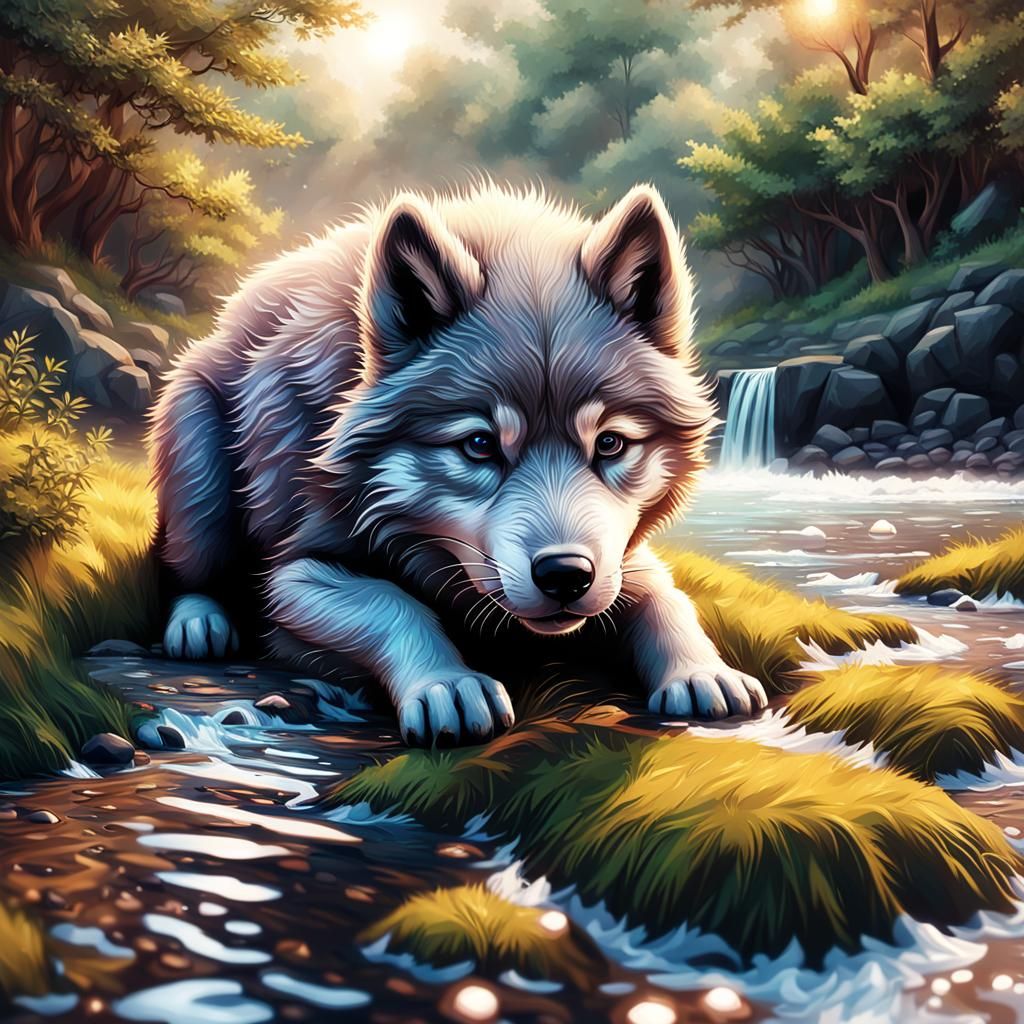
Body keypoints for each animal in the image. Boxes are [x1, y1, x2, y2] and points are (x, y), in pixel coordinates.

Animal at [150, 182, 768, 745]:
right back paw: (199, 623)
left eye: (611, 444)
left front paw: (703, 671)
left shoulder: (622, 559)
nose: (566, 575)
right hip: (198, 461)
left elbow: (665, 597)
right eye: (479, 445)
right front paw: (449, 684)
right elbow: (391, 603)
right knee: (186, 567)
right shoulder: (291, 572)